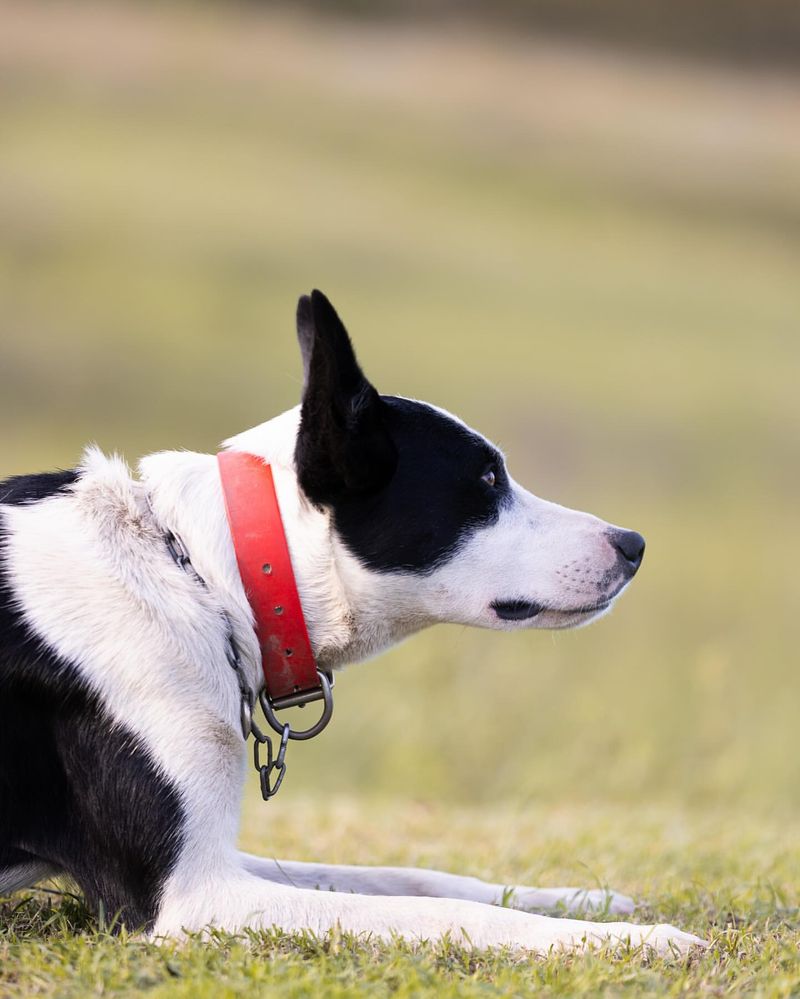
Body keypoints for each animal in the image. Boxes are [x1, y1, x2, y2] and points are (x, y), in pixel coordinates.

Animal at [0, 292, 700, 952]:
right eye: (486, 479)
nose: (634, 545)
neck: (199, 572)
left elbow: (417, 879)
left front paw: (583, 900)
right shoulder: (190, 896)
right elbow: (449, 912)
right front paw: (636, 942)